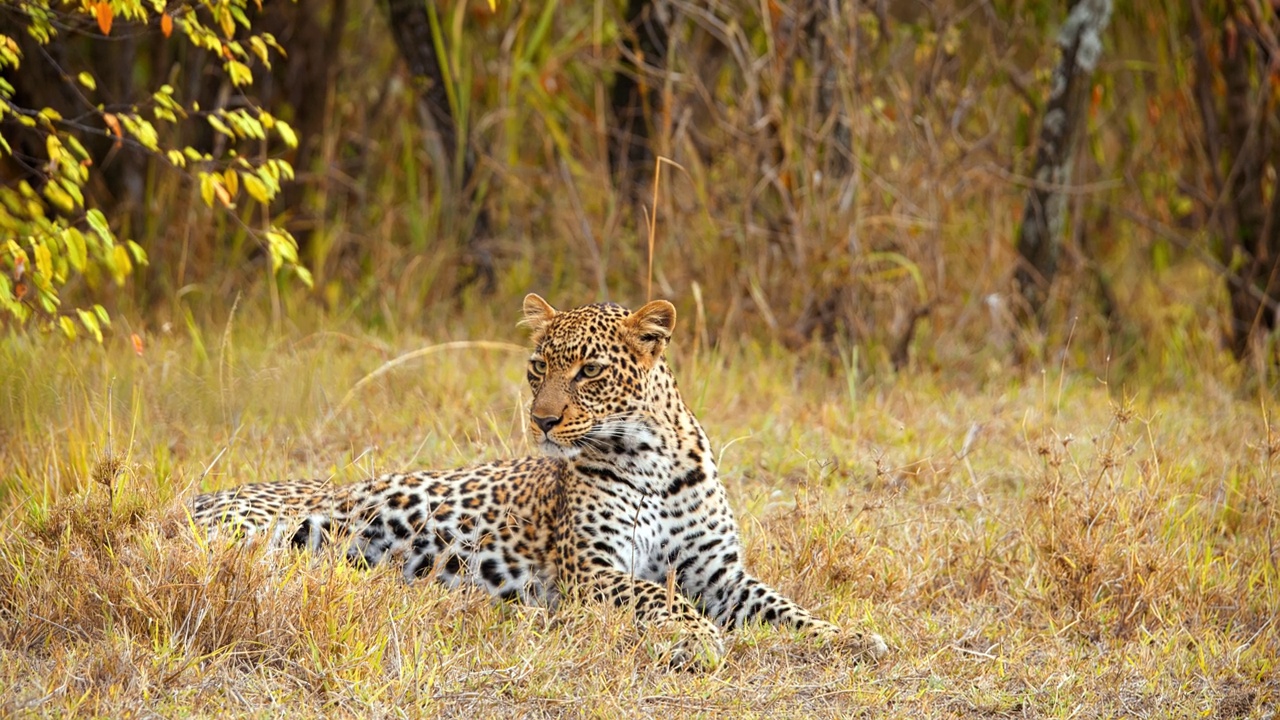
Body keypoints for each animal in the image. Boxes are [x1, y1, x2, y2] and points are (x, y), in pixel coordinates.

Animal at [189, 293, 890, 666]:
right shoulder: (593, 571)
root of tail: (197, 498)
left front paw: (850, 636)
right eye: (536, 367)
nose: (543, 421)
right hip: (260, 531)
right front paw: (698, 640)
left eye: (588, 371)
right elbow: (663, 598)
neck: (654, 461)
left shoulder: (718, 572)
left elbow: (785, 607)